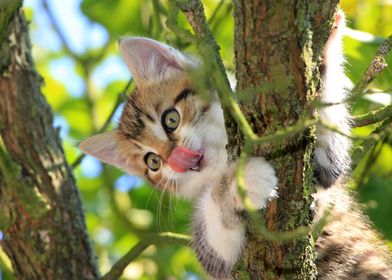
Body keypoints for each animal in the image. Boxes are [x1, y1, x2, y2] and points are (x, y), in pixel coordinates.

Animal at [78, 11, 390, 280]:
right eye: (153, 162)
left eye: (171, 119)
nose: (176, 161)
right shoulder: (222, 261)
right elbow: (217, 227)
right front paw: (242, 181)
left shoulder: (324, 172)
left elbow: (328, 150)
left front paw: (323, 46)